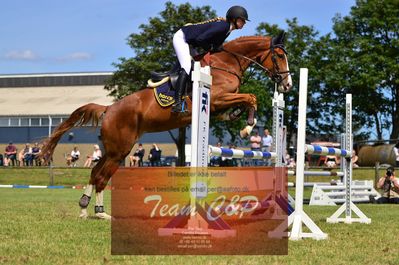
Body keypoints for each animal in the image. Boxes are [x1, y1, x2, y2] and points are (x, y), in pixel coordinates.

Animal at [42, 32, 294, 218]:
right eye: (280, 56)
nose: (288, 85)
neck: (226, 63)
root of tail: (109, 108)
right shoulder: (217, 99)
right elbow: (251, 97)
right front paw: (248, 126)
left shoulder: (220, 103)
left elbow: (246, 100)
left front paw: (240, 120)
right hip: (119, 150)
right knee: (101, 177)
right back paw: (101, 213)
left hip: (113, 149)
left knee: (95, 173)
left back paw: (86, 209)